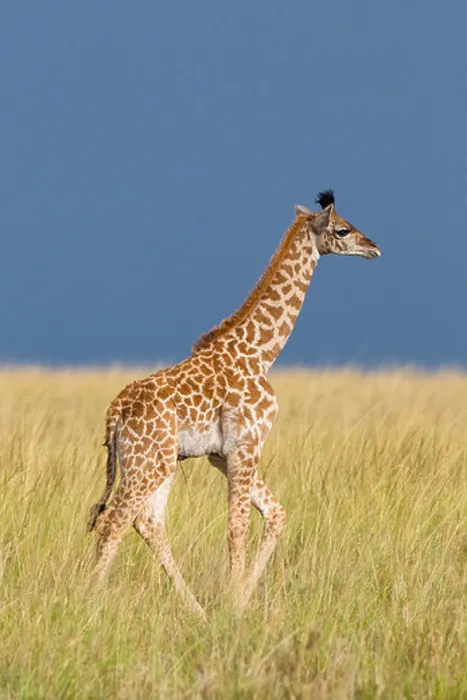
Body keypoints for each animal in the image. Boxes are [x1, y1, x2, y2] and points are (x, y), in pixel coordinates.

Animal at [88, 190, 381, 618]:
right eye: (343, 229)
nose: (373, 246)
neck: (261, 353)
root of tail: (115, 412)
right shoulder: (246, 444)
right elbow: (238, 525)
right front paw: (235, 606)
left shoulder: (222, 454)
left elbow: (275, 513)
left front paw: (238, 599)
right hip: (146, 463)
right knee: (114, 521)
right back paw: (86, 601)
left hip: (160, 463)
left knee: (147, 522)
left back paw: (196, 610)